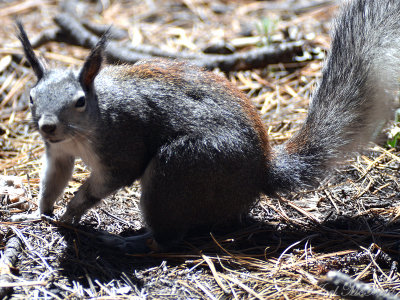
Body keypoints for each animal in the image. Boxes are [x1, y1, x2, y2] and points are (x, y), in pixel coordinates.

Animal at [14, 0, 400, 252]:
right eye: (31, 97)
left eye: (80, 101)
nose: (47, 126)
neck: (86, 127)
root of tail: (259, 174)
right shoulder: (58, 153)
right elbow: (53, 179)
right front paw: (42, 211)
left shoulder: (121, 144)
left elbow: (106, 181)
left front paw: (73, 209)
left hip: (180, 169)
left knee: (169, 237)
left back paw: (129, 241)